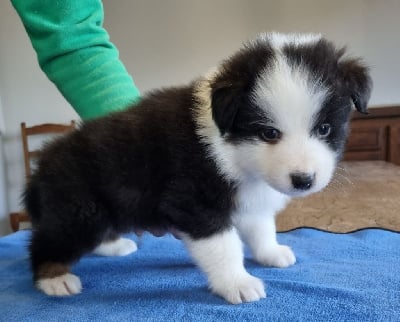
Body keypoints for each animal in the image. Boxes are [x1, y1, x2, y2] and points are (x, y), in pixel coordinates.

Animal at [25, 32, 372, 304]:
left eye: (324, 129)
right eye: (269, 133)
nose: (303, 180)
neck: (233, 150)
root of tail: (42, 164)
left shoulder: (250, 196)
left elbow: (261, 227)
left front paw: (271, 253)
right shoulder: (196, 202)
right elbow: (224, 246)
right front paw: (238, 283)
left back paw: (114, 246)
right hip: (79, 210)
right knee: (46, 242)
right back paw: (54, 278)